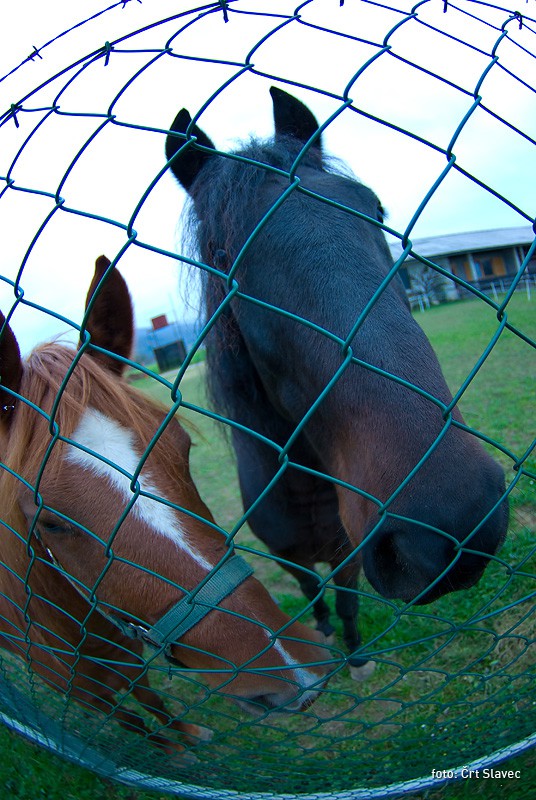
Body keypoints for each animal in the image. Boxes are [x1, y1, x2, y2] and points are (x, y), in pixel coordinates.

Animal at [0, 258, 326, 756]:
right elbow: (127, 717)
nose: (294, 672)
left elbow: (146, 694)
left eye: (183, 447)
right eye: (49, 523)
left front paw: (183, 735)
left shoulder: (125, 652)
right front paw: (169, 750)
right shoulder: (76, 686)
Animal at [165, 87, 508, 672]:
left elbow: (347, 601)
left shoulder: (349, 553)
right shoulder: (291, 556)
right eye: (223, 257)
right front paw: (325, 633)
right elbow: (312, 593)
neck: (305, 488)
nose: (454, 516)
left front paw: (356, 655)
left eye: (375, 209)